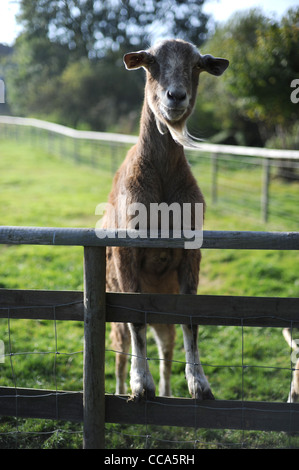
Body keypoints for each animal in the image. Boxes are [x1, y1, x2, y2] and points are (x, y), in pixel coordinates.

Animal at [103, 38, 230, 402]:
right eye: (152, 63)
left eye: (197, 65)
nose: (176, 96)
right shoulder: (126, 252)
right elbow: (136, 320)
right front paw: (140, 384)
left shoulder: (192, 251)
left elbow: (191, 319)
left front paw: (199, 384)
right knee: (119, 349)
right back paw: (121, 387)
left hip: (164, 308)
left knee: (166, 344)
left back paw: (168, 390)